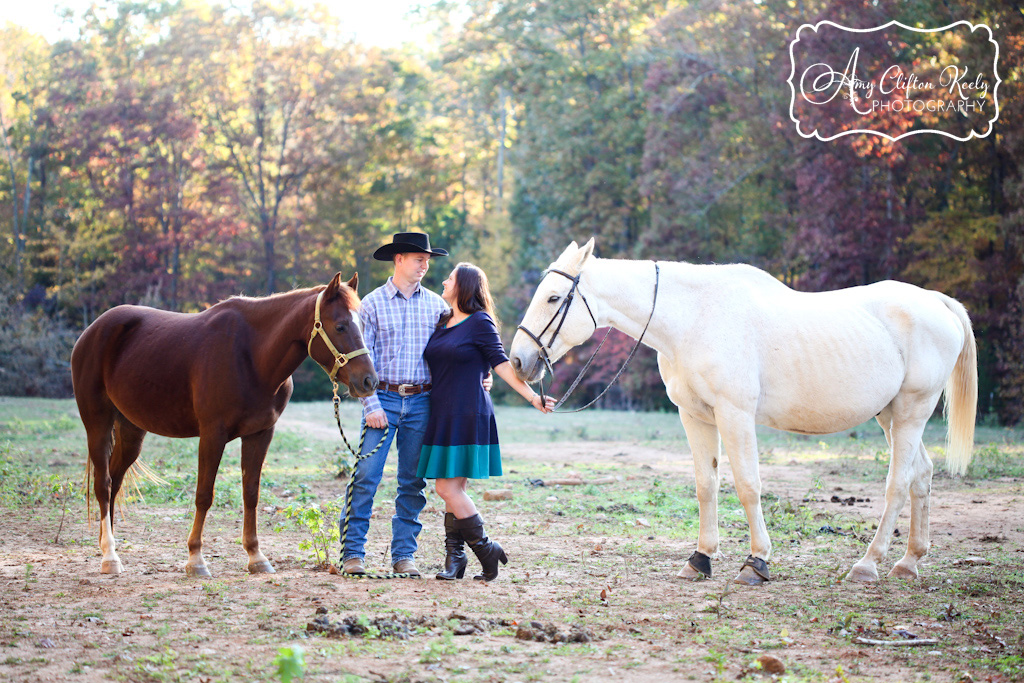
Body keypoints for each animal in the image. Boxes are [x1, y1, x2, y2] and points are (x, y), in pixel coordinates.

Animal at [71, 272, 376, 577]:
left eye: (363, 324)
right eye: (340, 326)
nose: (369, 381)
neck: (252, 356)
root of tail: (92, 330)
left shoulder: (260, 434)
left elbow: (251, 494)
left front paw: (256, 556)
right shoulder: (212, 435)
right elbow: (204, 494)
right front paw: (196, 559)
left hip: (131, 431)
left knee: (115, 481)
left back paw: (109, 547)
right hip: (97, 424)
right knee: (103, 484)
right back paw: (110, 556)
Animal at [512, 237, 974, 585]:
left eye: (554, 297)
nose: (518, 360)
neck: (693, 318)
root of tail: (937, 303)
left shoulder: (734, 415)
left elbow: (748, 485)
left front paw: (757, 562)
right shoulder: (695, 417)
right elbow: (706, 486)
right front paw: (700, 559)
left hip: (912, 411)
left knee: (898, 484)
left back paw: (867, 564)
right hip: (890, 415)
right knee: (922, 476)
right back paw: (909, 562)